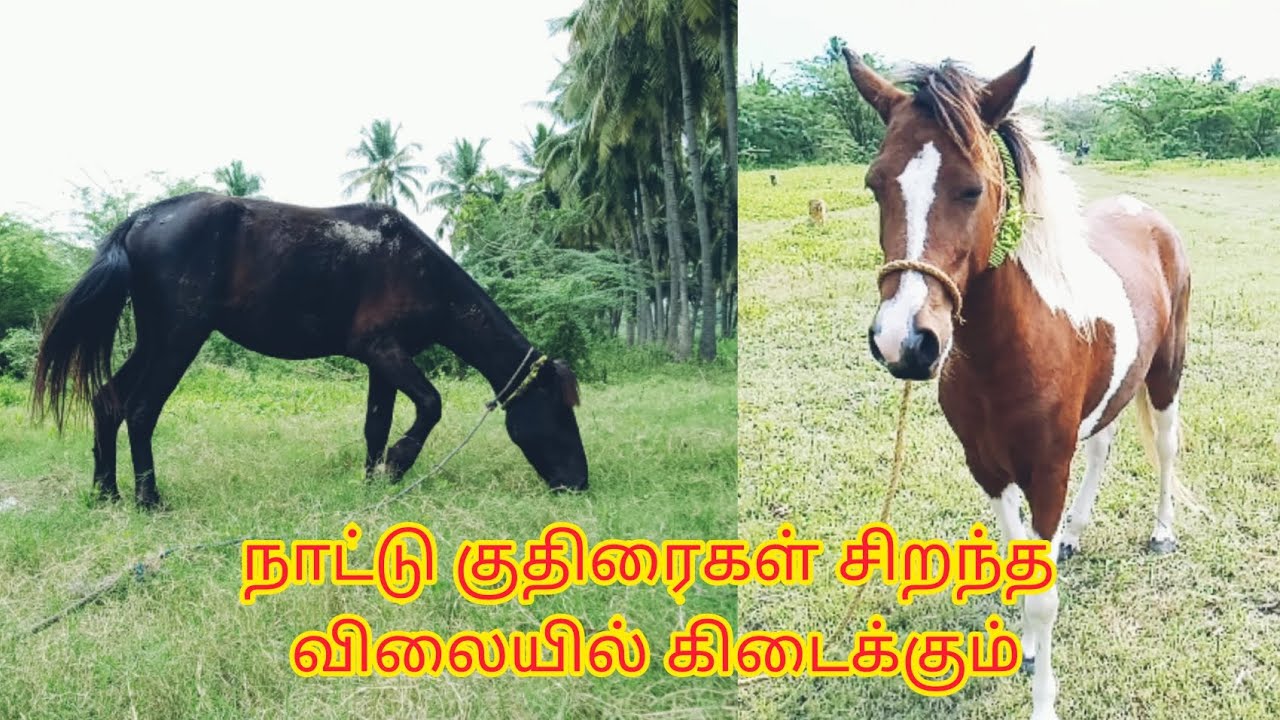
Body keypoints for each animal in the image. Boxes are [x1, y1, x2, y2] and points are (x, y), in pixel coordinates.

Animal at [33, 192, 588, 509]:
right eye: (560, 413)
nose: (580, 483)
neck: (416, 267)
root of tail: (142, 219)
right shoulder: (383, 351)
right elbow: (430, 405)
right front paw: (398, 464)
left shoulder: (382, 362)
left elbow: (376, 425)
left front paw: (373, 480)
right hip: (177, 339)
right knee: (142, 409)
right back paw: (148, 500)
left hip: (155, 341)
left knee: (108, 400)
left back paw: (106, 493)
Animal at [843, 47, 1191, 720]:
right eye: (875, 185)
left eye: (972, 188)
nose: (905, 341)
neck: (1010, 353)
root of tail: (1146, 214)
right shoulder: (987, 466)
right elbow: (1016, 566)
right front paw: (1026, 648)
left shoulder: (1046, 470)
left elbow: (1043, 596)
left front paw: (1043, 697)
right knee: (1103, 447)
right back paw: (1074, 538)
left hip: (1166, 373)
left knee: (1164, 448)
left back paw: (1161, 532)